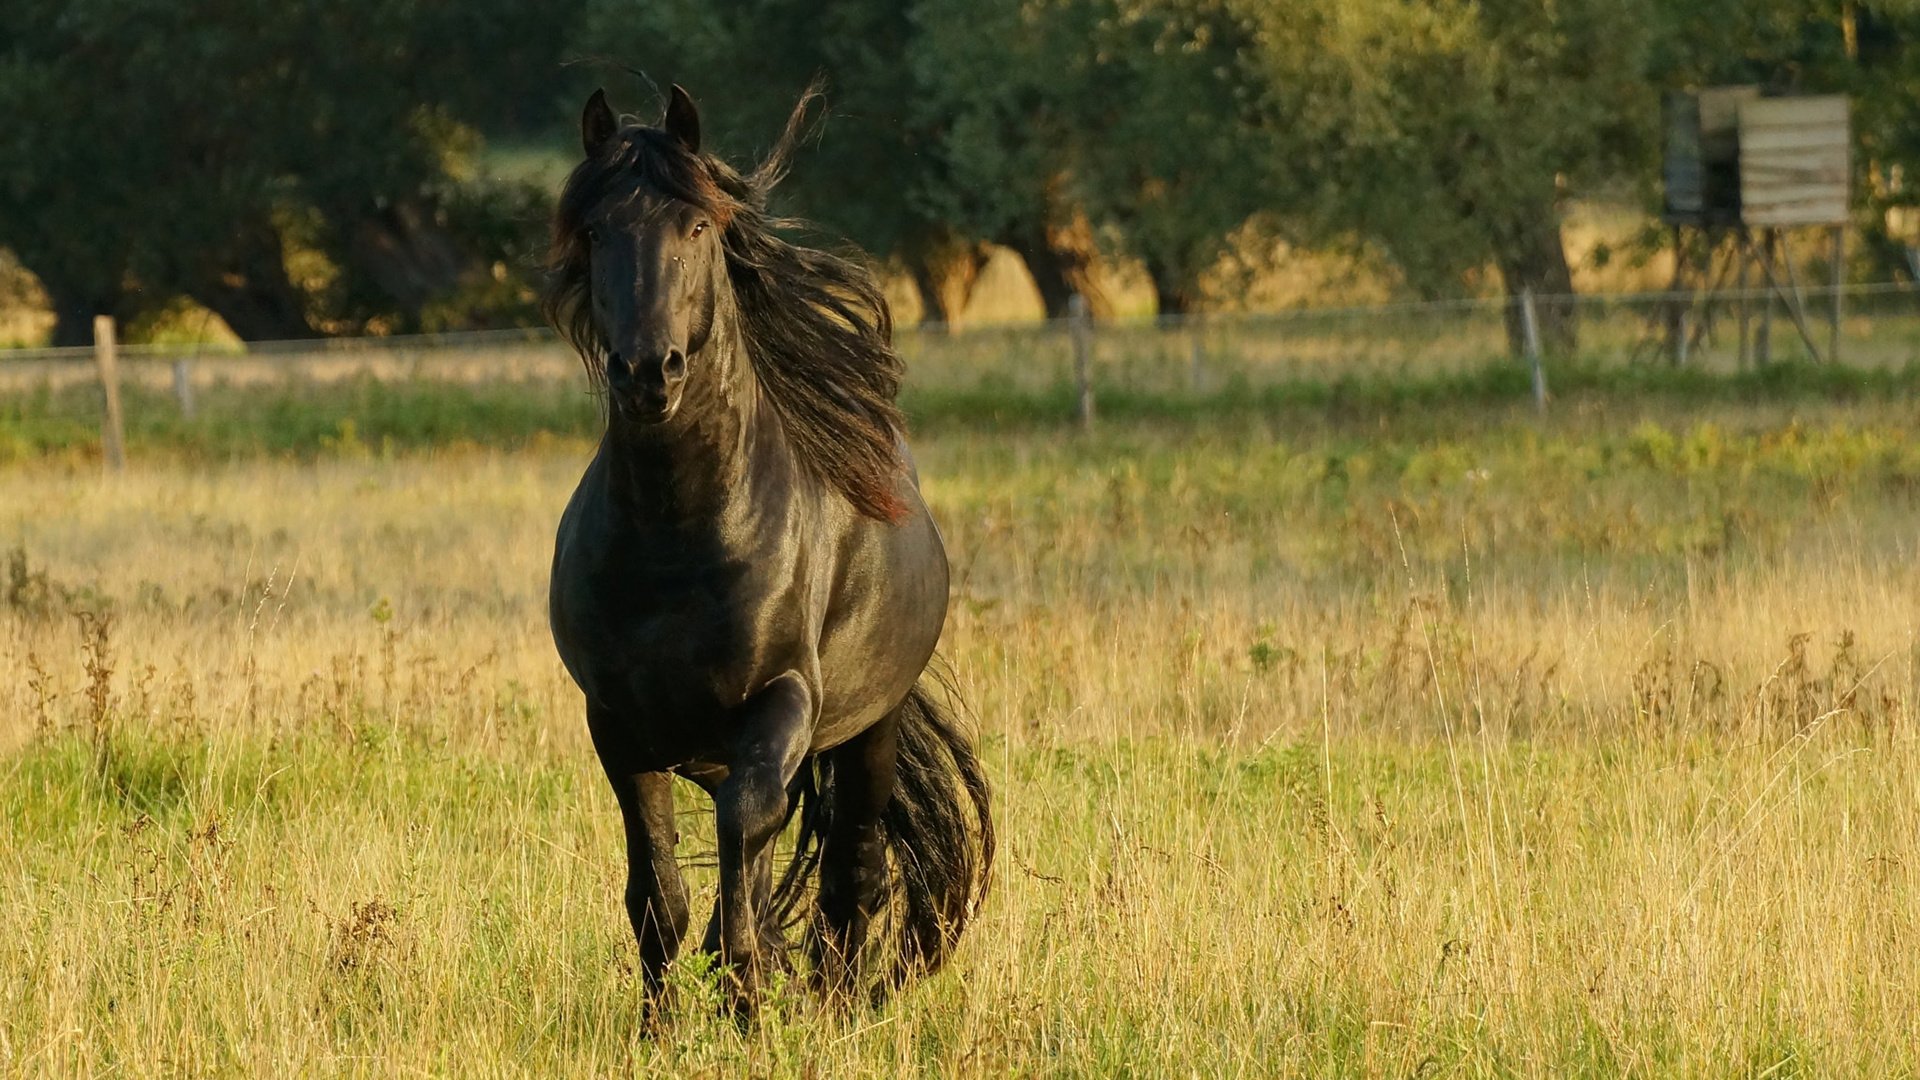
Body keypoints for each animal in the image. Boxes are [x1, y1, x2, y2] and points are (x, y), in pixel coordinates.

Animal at [541, 85, 990, 1006]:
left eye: (697, 226)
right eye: (595, 232)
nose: (649, 372)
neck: (676, 538)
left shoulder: (778, 705)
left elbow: (750, 862)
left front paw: (751, 1008)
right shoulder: (617, 726)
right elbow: (660, 901)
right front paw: (661, 1026)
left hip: (866, 732)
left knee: (850, 875)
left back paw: (840, 1007)